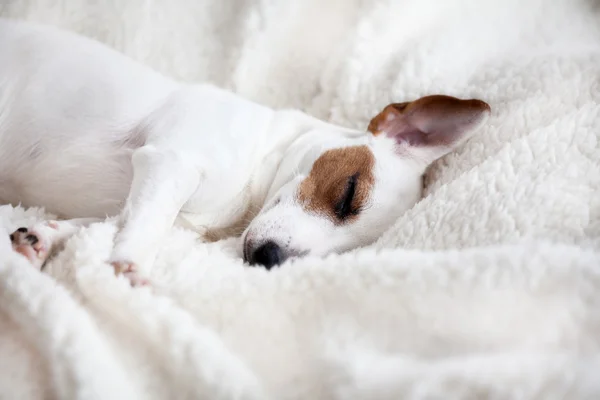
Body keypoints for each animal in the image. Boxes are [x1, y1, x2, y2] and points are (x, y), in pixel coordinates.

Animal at [0, 18, 490, 282]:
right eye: (349, 193)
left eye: (346, 252)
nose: (268, 259)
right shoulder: (168, 163)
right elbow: (147, 223)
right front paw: (131, 263)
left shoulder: (147, 199)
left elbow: (109, 222)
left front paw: (45, 237)